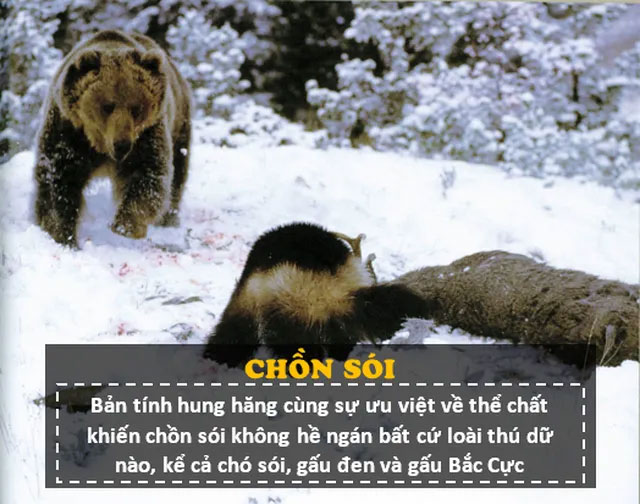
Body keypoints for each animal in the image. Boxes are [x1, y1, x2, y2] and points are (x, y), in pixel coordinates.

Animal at [34, 30, 192, 247]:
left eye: (136, 108)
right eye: (107, 106)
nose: (122, 144)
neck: (99, 146)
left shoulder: (147, 134)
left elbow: (147, 173)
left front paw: (125, 226)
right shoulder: (69, 131)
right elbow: (57, 179)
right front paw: (62, 235)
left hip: (179, 124)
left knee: (178, 171)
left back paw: (168, 219)